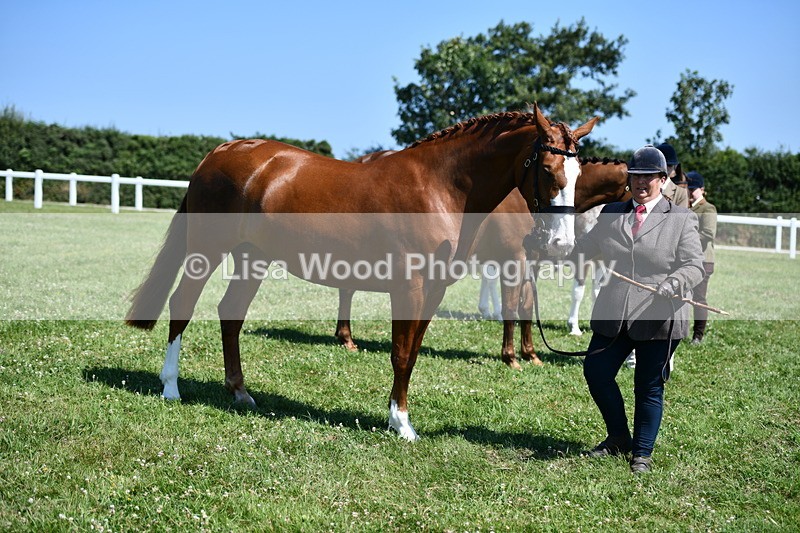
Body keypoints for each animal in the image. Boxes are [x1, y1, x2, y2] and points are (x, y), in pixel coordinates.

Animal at [125, 104, 598, 440]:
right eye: (547, 169)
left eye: (578, 173)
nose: (561, 244)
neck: (440, 187)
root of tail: (219, 153)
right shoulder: (408, 287)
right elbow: (401, 353)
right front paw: (401, 424)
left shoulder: (434, 291)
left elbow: (413, 352)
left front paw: (398, 417)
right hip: (206, 250)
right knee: (182, 305)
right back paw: (171, 387)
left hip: (252, 257)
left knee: (231, 315)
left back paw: (240, 392)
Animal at [336, 156, 631, 370]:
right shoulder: (520, 259)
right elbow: (516, 306)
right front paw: (512, 356)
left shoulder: (533, 262)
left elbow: (527, 305)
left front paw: (531, 354)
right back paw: (346, 337)